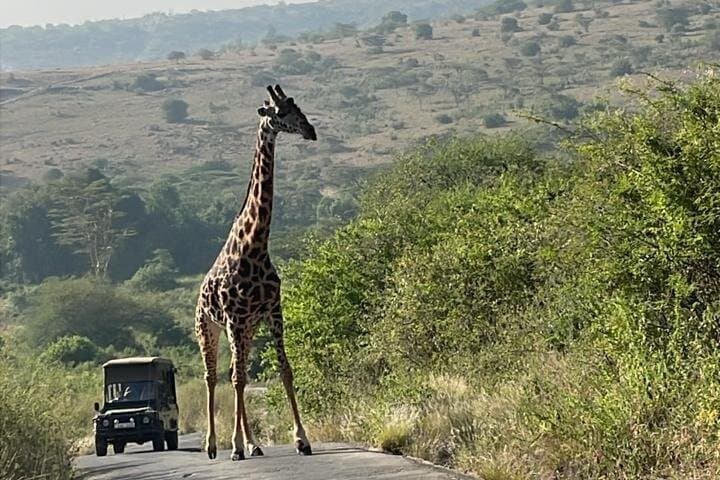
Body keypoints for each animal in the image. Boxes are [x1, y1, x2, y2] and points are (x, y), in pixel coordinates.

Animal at [194, 85, 316, 461]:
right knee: (213, 376)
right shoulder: (234, 319)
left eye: (298, 108)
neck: (257, 244)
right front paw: (233, 446)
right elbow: (236, 380)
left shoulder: (273, 311)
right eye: (280, 113)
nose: (311, 131)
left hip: (247, 330)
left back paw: (253, 444)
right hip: (209, 328)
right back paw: (214, 445)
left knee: (238, 371)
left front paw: (302, 439)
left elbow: (285, 370)